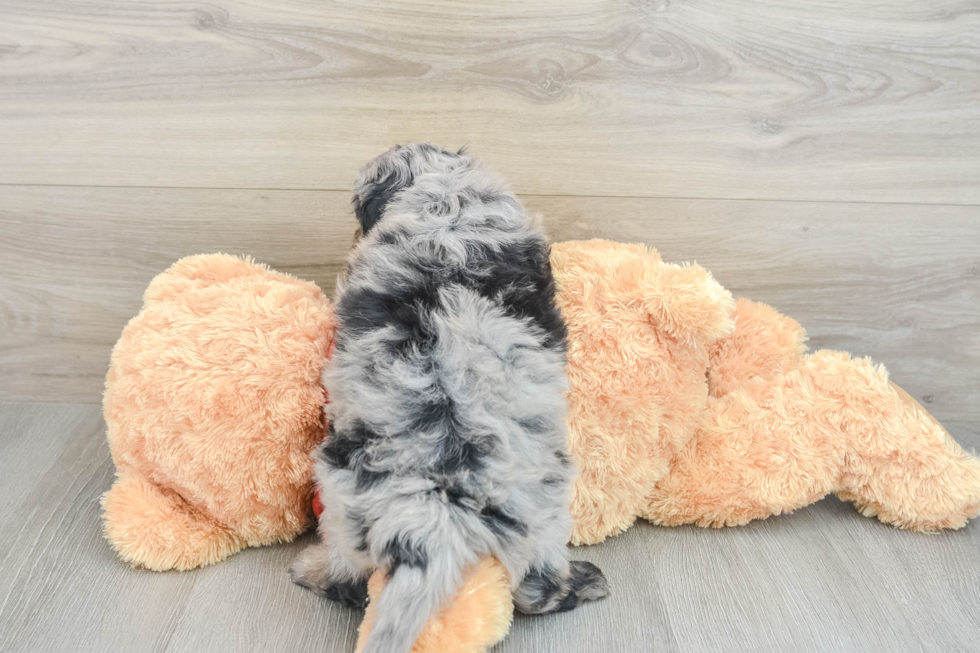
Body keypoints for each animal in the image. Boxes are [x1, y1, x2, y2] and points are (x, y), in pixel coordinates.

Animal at [290, 143, 608, 652]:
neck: (449, 206)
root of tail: (436, 507)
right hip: (542, 517)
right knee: (537, 588)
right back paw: (586, 582)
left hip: (343, 511)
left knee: (349, 579)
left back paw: (312, 568)